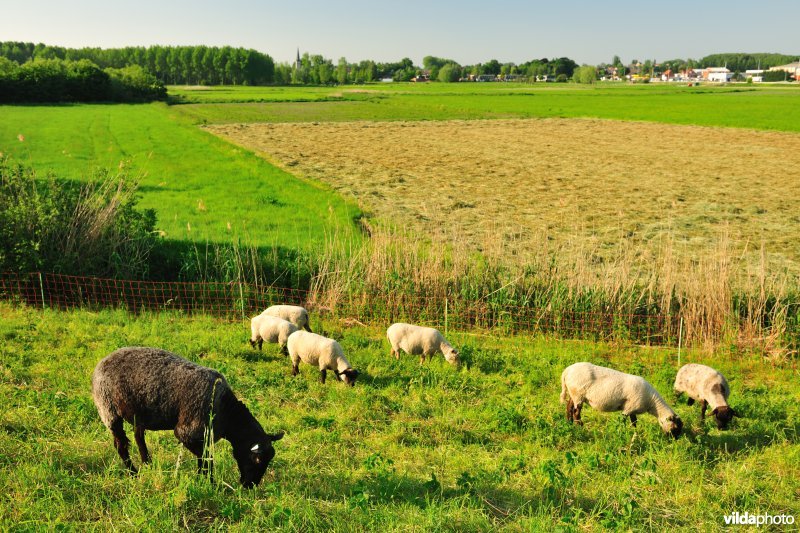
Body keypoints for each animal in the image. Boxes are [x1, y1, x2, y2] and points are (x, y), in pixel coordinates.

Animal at [92, 344, 284, 486]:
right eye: (257, 460)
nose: (249, 485)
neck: (227, 413)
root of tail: (102, 361)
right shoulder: (188, 433)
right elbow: (207, 458)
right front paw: (211, 483)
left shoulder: (204, 437)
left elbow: (204, 459)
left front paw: (202, 480)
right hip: (108, 408)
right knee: (121, 445)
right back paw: (134, 473)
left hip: (138, 413)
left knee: (139, 438)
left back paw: (148, 464)